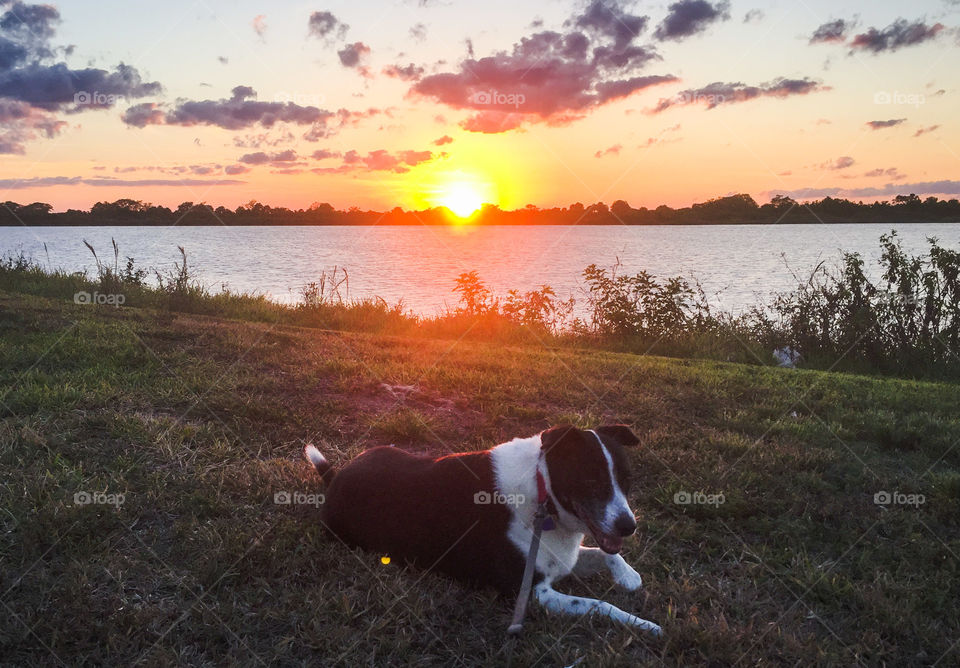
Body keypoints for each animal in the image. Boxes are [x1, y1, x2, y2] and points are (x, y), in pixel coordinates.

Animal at [306, 426, 660, 636]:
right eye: (591, 480)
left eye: (627, 480)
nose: (629, 527)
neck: (542, 492)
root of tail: (335, 477)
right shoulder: (531, 593)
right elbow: (600, 605)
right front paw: (644, 624)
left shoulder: (561, 560)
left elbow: (603, 553)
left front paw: (627, 576)